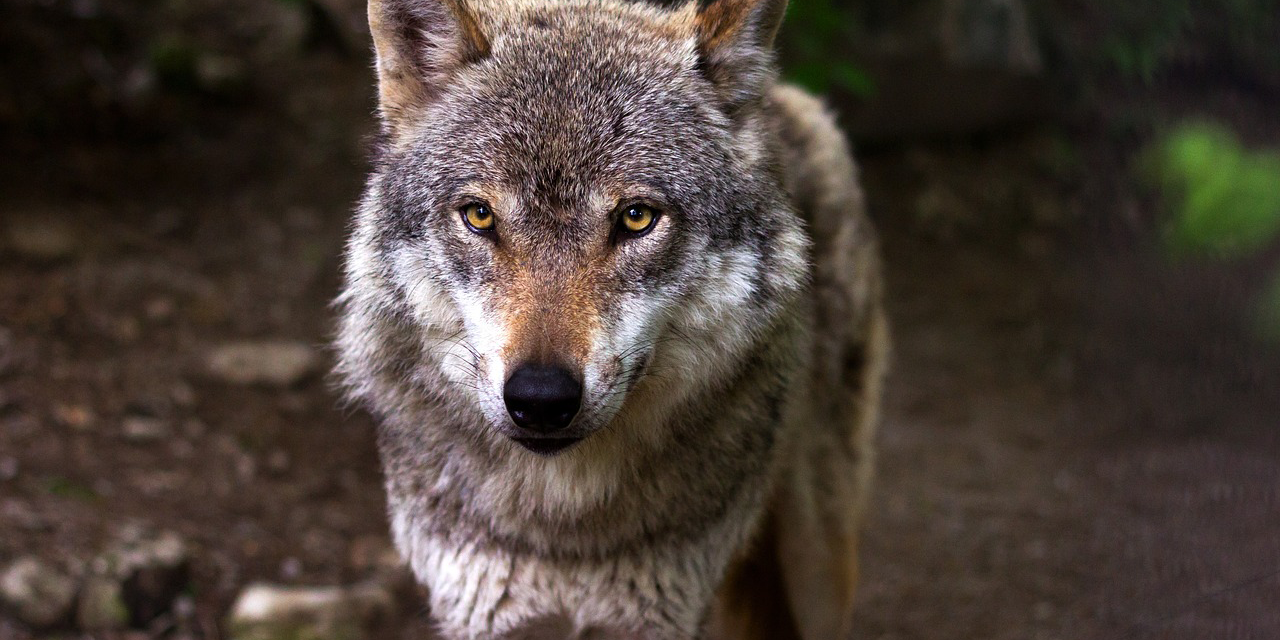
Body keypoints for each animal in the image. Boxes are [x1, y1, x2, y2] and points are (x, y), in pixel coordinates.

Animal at [334, 0, 888, 636]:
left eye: (636, 218)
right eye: (479, 216)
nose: (541, 398)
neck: (565, 530)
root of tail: (787, 97)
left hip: (817, 564)